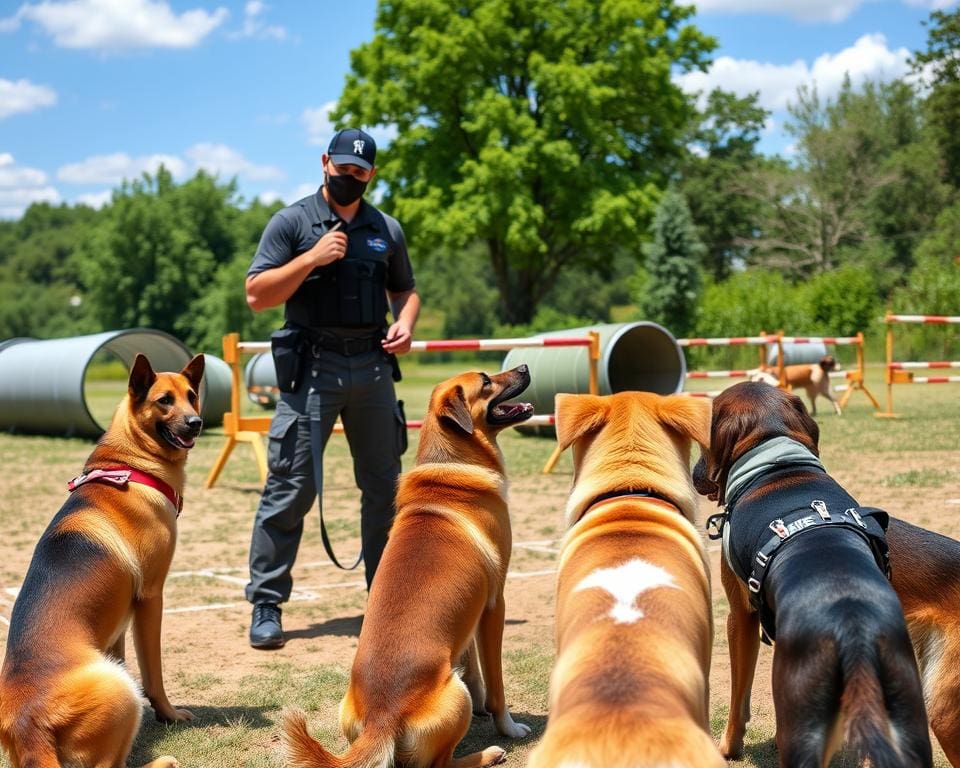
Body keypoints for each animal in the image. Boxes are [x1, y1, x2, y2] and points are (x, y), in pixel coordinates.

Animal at [0, 354, 204, 768]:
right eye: (164, 400)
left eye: (192, 396)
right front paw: (169, 714)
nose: (197, 423)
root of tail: (28, 726)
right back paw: (162, 762)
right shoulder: (151, 598)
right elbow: (154, 673)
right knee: (110, 765)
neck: (131, 464)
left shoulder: (118, 623)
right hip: (120, 688)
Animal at [284, 364, 536, 768]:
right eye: (486, 380)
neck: (451, 469)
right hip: (456, 696)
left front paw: (485, 707)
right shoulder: (494, 604)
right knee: (441, 764)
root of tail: (382, 719)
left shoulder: (470, 616)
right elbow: (496, 684)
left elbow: (476, 669)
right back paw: (487, 753)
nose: (525, 366)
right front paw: (508, 727)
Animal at [696, 380, 928, 764]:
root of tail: (855, 635)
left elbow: (737, 701)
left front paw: (729, 748)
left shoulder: (740, 616)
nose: (695, 473)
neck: (777, 465)